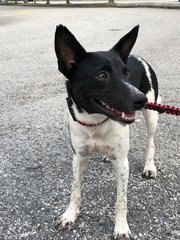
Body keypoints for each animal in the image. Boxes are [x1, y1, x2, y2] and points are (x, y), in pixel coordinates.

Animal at [54, 25, 160, 239]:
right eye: (102, 75)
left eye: (126, 73)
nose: (141, 99)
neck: (95, 122)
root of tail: (136, 56)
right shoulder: (79, 157)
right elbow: (75, 190)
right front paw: (70, 215)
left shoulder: (122, 163)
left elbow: (121, 200)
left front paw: (121, 227)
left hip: (152, 115)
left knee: (150, 140)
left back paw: (149, 166)